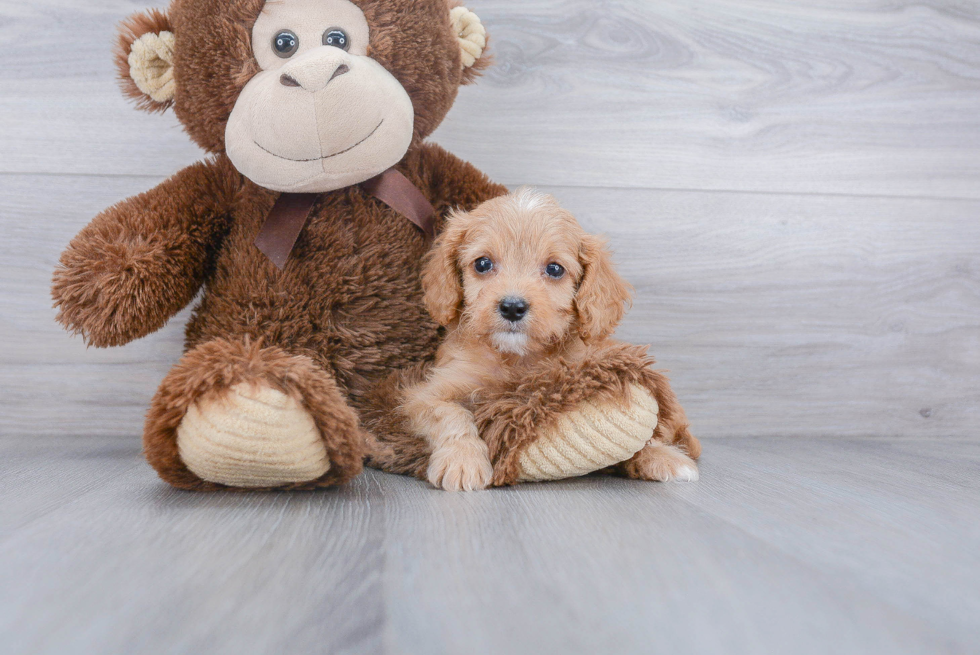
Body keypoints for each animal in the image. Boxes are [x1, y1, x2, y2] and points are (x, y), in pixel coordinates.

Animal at [402, 187, 700, 490]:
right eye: (483, 264)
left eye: (555, 269)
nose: (512, 307)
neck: (518, 358)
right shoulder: (428, 393)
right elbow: (452, 415)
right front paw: (463, 460)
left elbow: (643, 437)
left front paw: (661, 455)